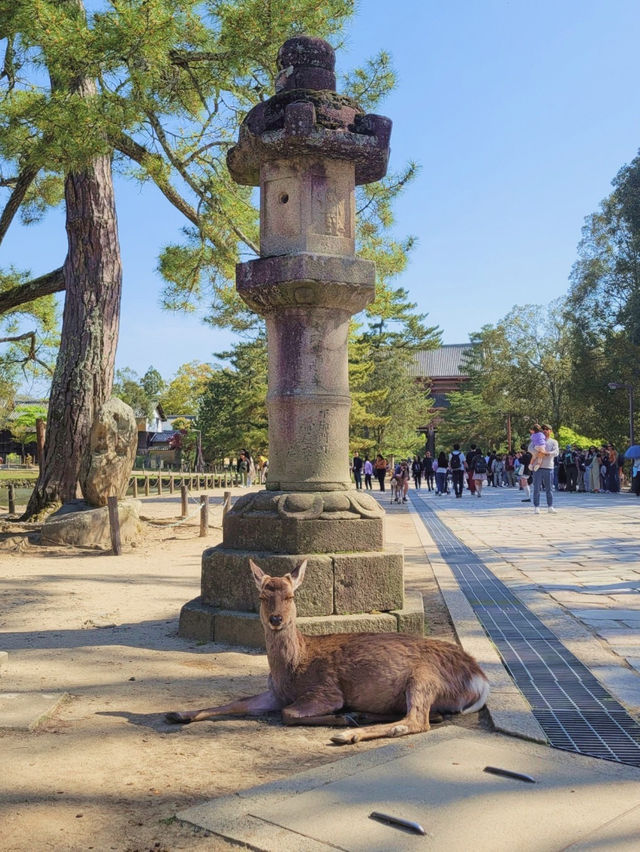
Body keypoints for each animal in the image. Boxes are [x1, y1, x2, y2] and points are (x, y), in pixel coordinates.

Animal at [166, 556, 490, 744]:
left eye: (291, 595)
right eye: (261, 596)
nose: (276, 619)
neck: (291, 669)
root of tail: (480, 679)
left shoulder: (326, 690)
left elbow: (288, 714)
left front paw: (340, 718)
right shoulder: (275, 692)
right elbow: (235, 702)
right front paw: (177, 713)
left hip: (424, 677)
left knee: (417, 721)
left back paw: (348, 732)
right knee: (427, 717)